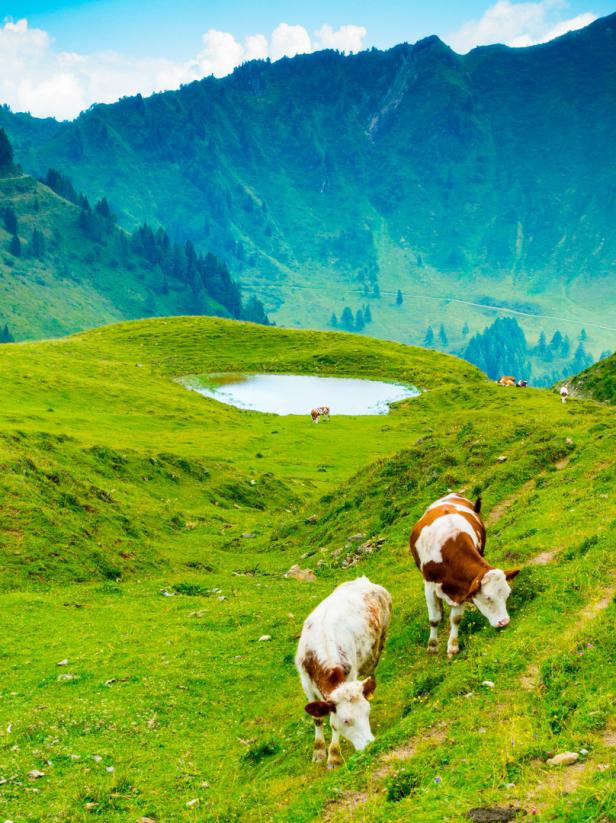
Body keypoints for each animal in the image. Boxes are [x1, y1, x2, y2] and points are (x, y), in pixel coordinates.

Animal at [295, 576, 392, 768]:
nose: (371, 744)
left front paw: (334, 756)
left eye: (367, 712)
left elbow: (333, 725)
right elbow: (317, 718)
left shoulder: (351, 675)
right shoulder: (306, 683)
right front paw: (319, 752)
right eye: (347, 720)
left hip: (379, 644)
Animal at [410, 493, 520, 658]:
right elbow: (434, 619)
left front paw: (453, 646)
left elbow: (456, 618)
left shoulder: (462, 587)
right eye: (488, 598)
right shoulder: (429, 585)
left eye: (507, 595)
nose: (504, 622)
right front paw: (433, 646)